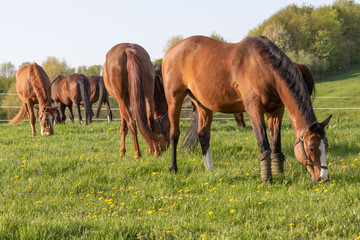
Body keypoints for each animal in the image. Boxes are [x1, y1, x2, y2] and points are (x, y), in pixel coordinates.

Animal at [163, 35, 332, 182]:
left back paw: (210, 169)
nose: (323, 177)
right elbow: (263, 143)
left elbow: (275, 144)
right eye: (311, 148)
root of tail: (170, 52)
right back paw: (173, 168)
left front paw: (279, 174)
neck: (264, 68)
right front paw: (267, 179)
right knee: (174, 134)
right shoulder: (254, 110)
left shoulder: (276, 111)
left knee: (203, 135)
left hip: (203, 105)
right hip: (174, 100)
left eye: (326, 145)